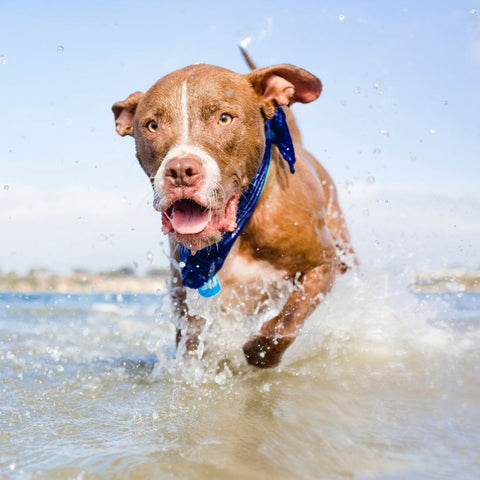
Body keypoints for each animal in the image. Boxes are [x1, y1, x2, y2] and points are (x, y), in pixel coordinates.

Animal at [111, 51, 352, 368]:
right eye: (152, 125)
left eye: (224, 118)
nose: (180, 171)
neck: (241, 224)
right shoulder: (185, 300)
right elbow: (191, 346)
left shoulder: (323, 263)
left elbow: (288, 320)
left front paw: (260, 352)